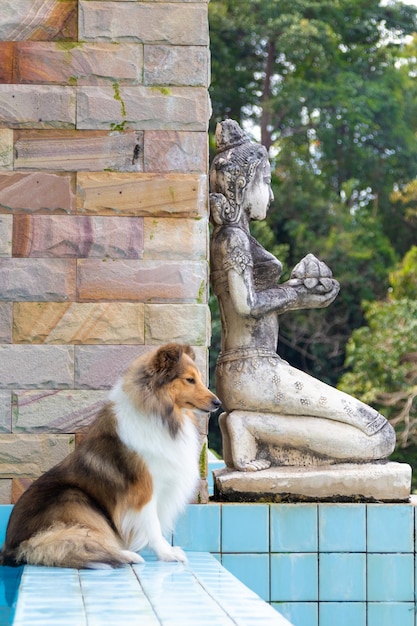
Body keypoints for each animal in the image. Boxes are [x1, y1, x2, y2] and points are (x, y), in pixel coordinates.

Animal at [0, 344, 219, 568]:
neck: (160, 413)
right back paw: (127, 555)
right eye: (190, 379)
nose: (218, 403)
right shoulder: (144, 491)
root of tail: (12, 546)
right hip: (74, 499)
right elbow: (153, 525)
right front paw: (166, 553)